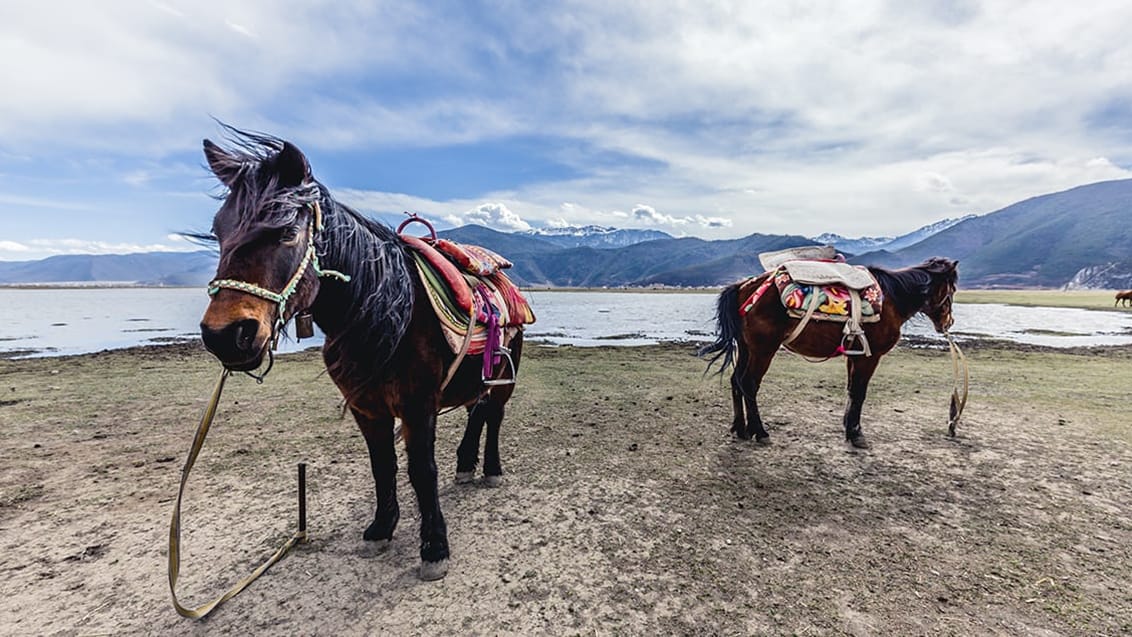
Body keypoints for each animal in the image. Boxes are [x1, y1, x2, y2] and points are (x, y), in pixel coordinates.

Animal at [196, 127, 527, 579]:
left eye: (287, 232)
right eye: (218, 230)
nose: (226, 335)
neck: (386, 312)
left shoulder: (418, 405)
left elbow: (421, 470)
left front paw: (434, 547)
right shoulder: (366, 407)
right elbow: (381, 465)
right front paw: (381, 528)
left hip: (505, 377)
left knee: (493, 415)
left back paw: (490, 469)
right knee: (476, 411)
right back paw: (464, 465)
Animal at [701, 257, 959, 448]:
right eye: (953, 289)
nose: (949, 321)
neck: (892, 300)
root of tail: (744, 286)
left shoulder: (855, 354)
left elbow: (852, 391)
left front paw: (849, 428)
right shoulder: (870, 356)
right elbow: (860, 392)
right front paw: (856, 435)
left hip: (746, 348)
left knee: (736, 381)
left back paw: (740, 428)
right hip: (763, 349)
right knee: (749, 383)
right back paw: (760, 431)